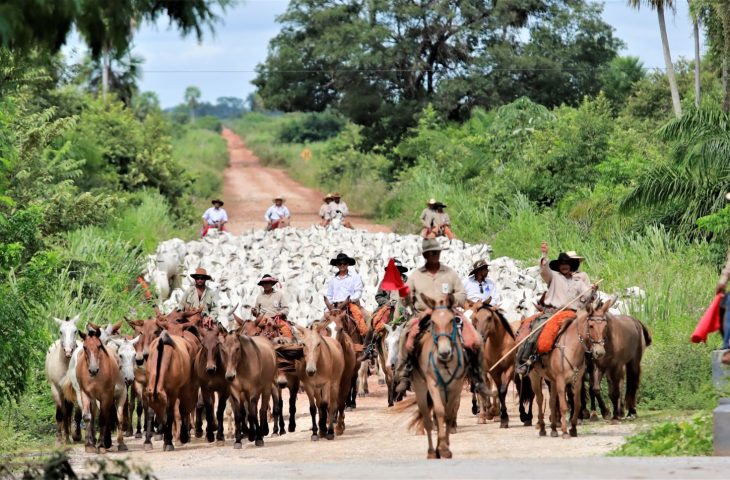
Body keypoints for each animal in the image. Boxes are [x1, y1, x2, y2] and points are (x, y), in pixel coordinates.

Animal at [406, 294, 464, 460]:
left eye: (452, 320)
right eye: (433, 322)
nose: (444, 352)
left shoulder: (456, 387)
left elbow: (449, 414)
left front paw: (445, 446)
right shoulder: (433, 385)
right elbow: (439, 412)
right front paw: (442, 448)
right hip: (421, 390)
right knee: (427, 418)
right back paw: (432, 451)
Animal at [470, 302, 516, 430]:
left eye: (489, 317)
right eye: (475, 319)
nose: (480, 338)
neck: (499, 344)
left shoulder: (509, 368)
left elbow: (501, 391)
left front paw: (500, 417)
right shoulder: (494, 371)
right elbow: (495, 391)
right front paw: (495, 414)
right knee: (480, 390)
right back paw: (482, 416)